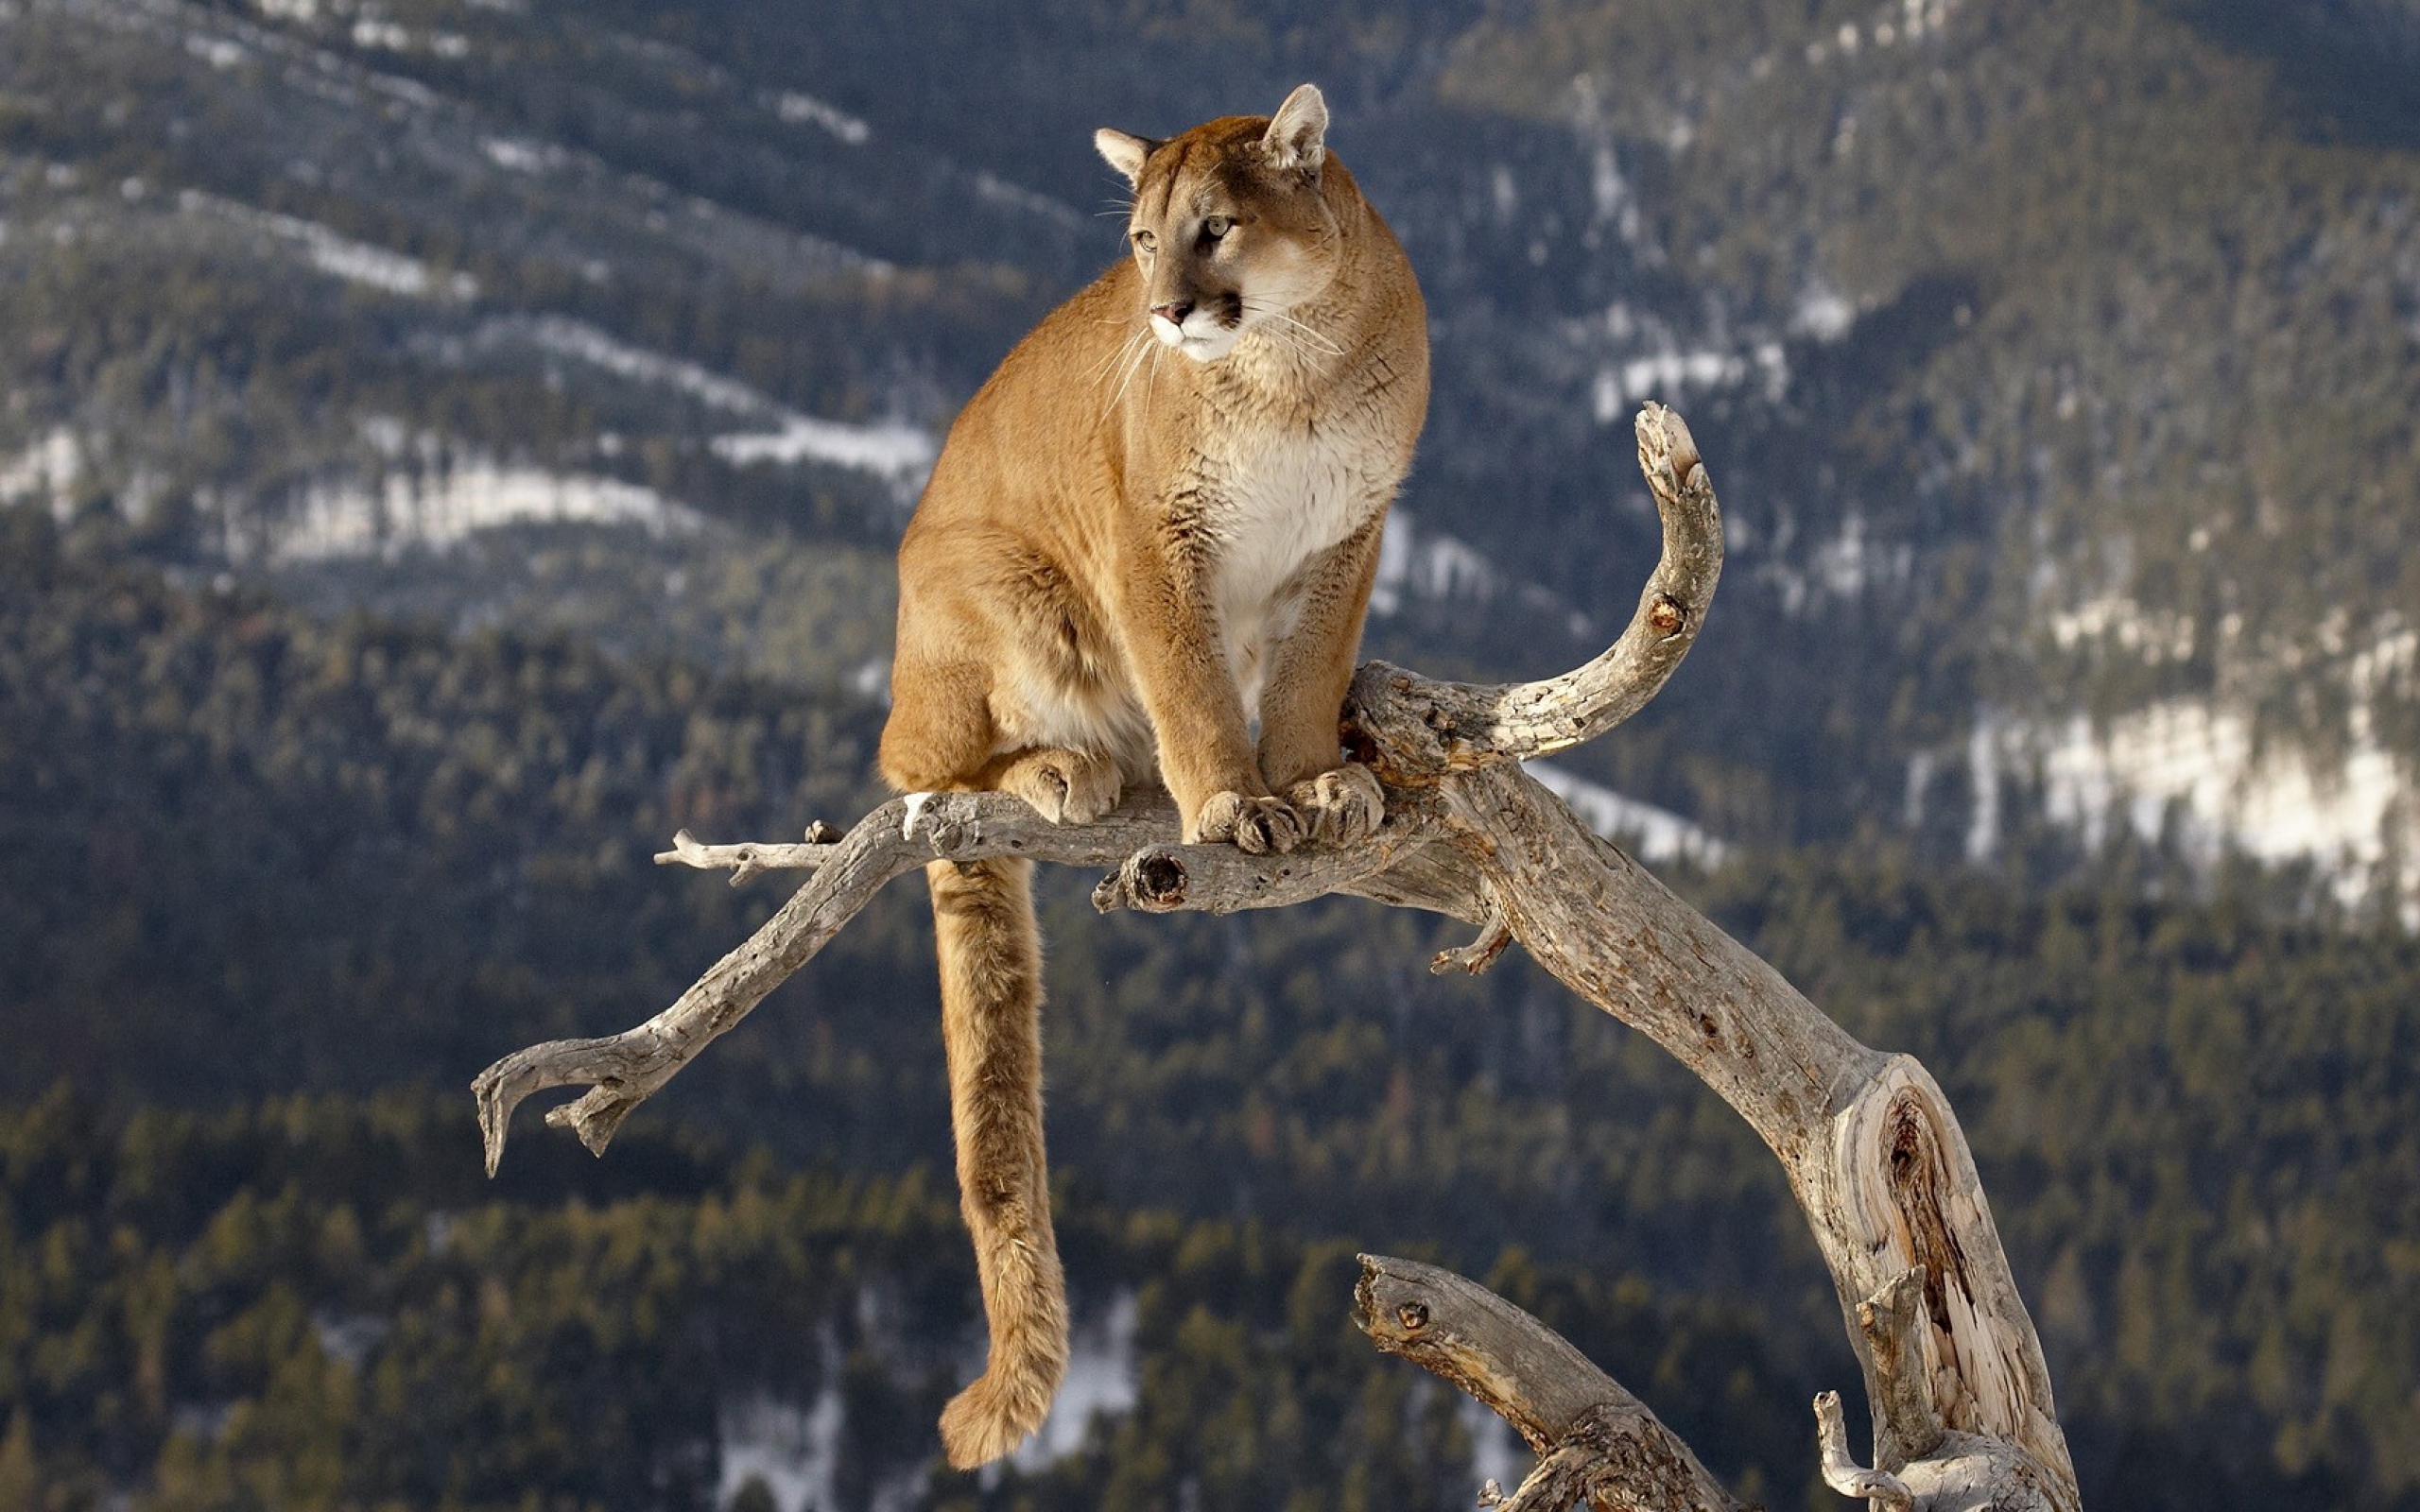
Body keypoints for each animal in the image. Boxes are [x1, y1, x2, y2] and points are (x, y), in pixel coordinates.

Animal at [880, 79, 1423, 1461]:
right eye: (1139, 241)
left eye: (1216, 228)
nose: (1169, 310)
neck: (1288, 370)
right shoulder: (1151, 542)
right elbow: (1189, 683)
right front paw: (1234, 800)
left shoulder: (1347, 538)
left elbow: (1305, 673)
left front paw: (1316, 778)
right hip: (1003, 589)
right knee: (918, 767)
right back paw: (1058, 772)